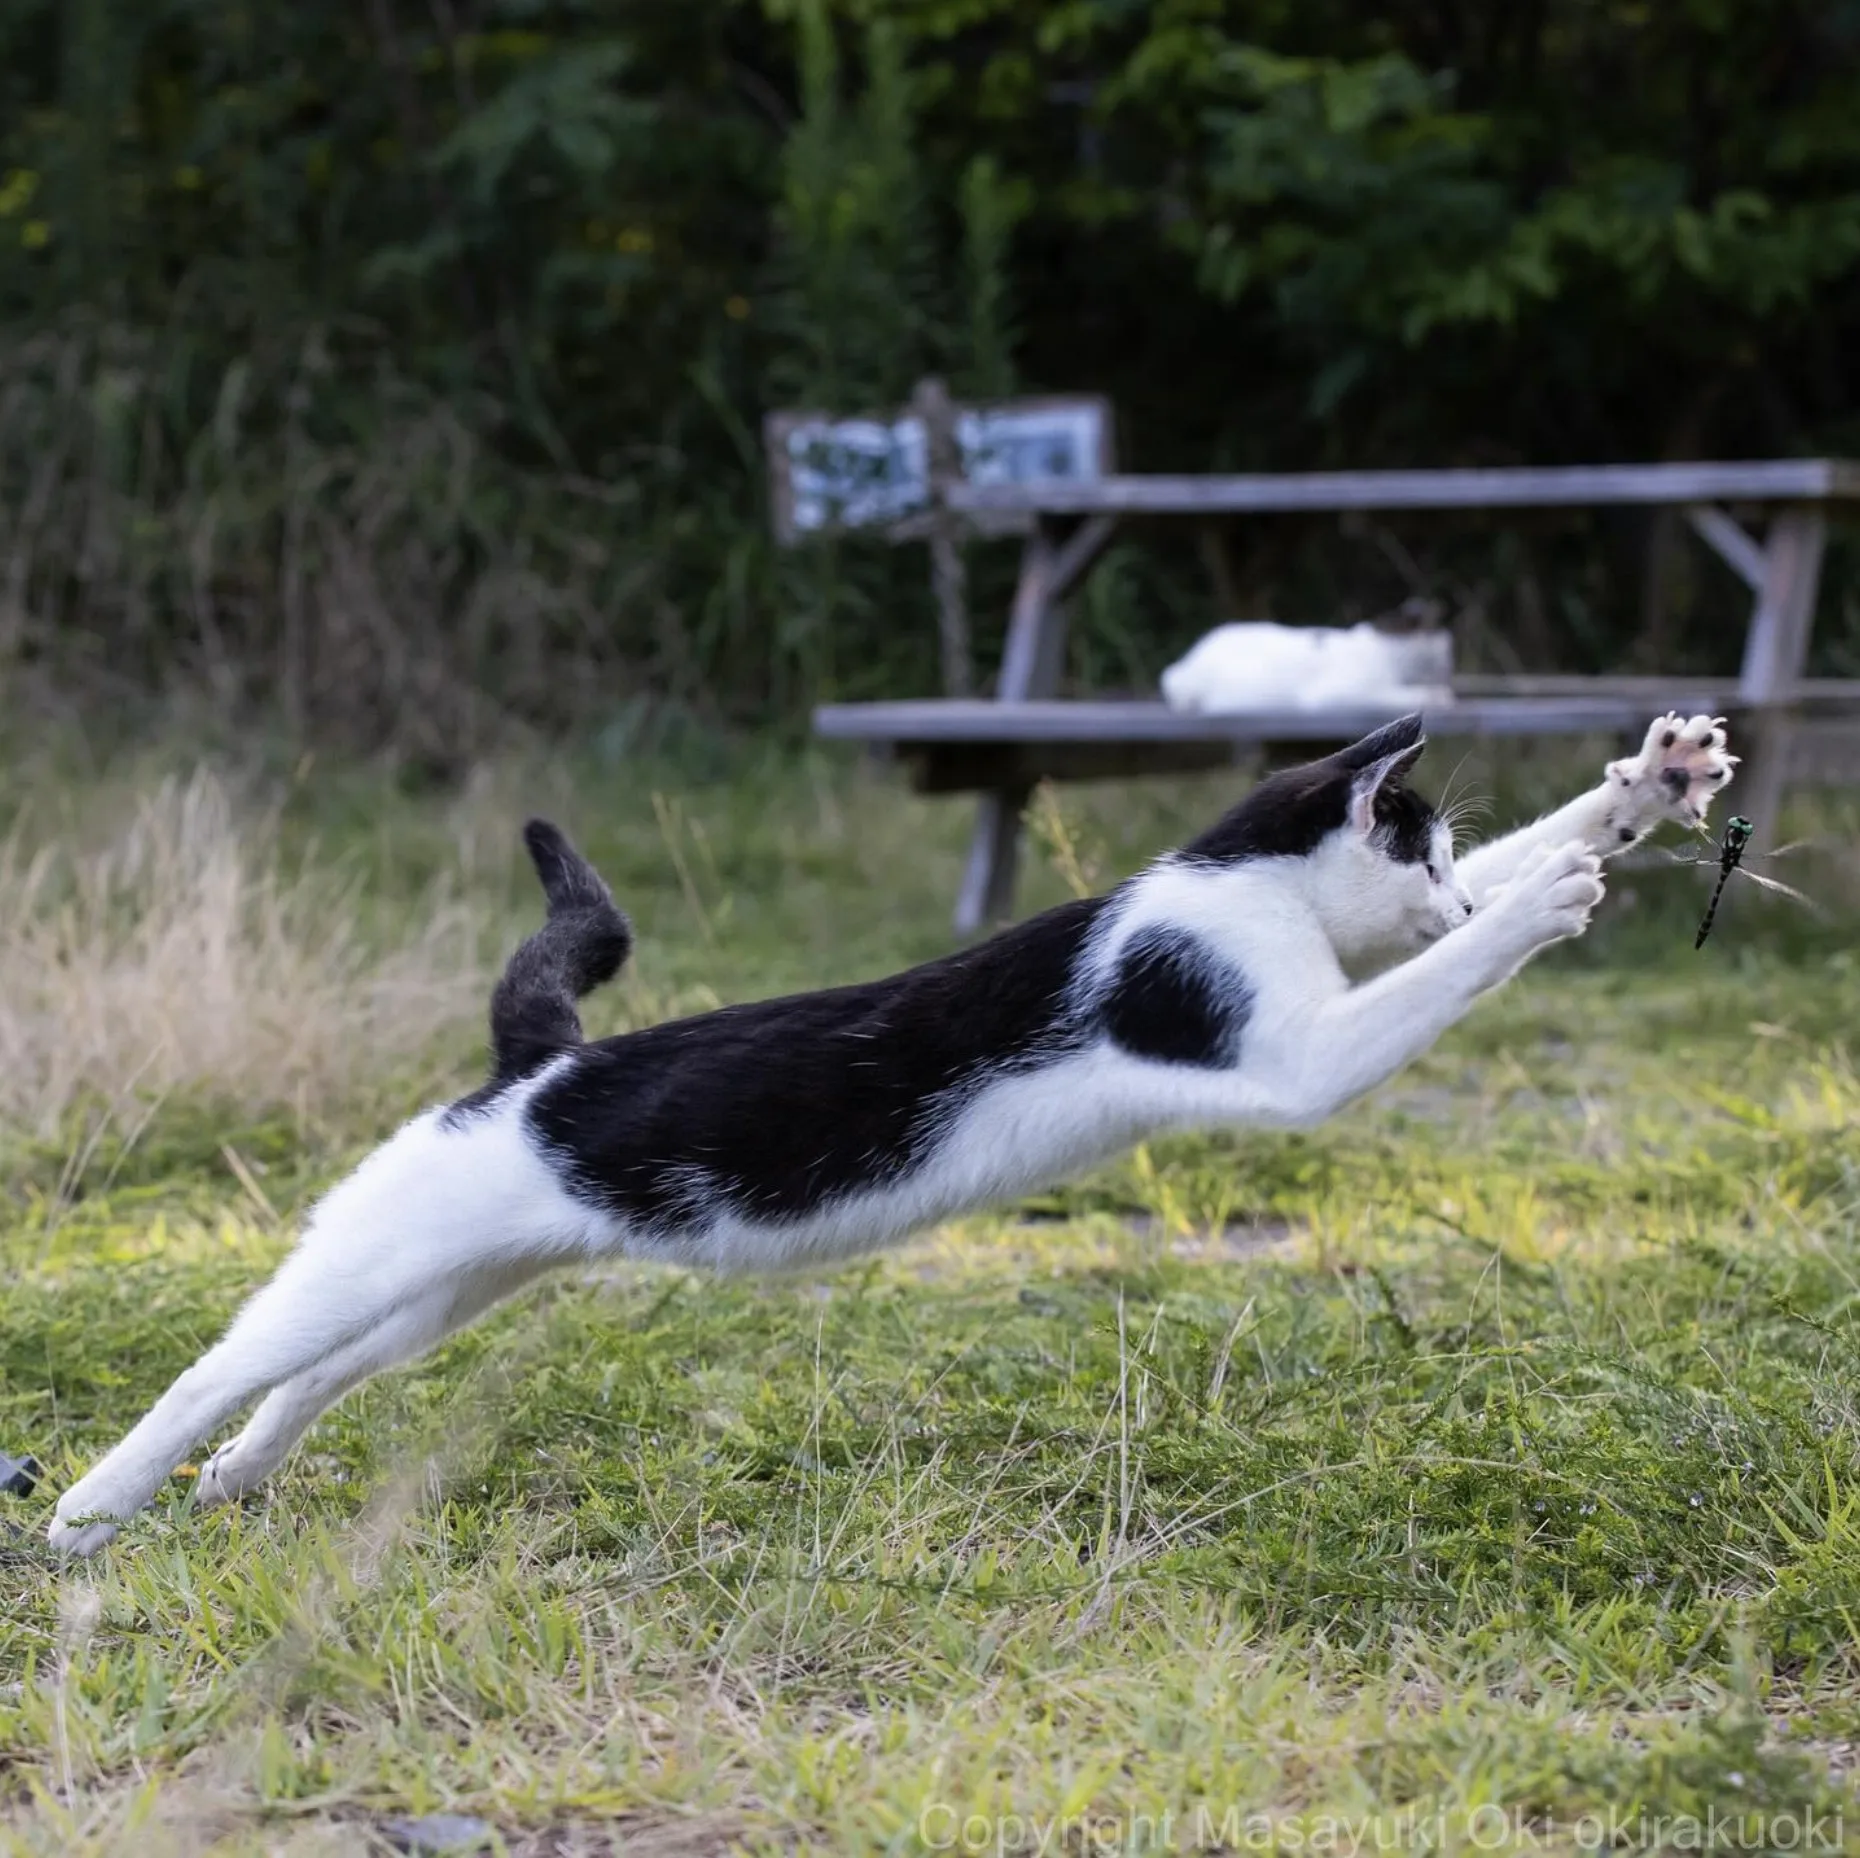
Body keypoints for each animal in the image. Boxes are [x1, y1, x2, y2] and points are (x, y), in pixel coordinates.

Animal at [50, 710, 1733, 1554]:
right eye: (1424, 849)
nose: (1446, 893)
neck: (1228, 880)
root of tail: (537, 1067)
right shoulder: (1296, 1054)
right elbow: (1442, 981)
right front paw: (1536, 900)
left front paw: (1638, 791)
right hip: (372, 1258)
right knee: (219, 1364)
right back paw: (90, 1509)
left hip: (446, 1289)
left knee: (309, 1379)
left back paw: (234, 1482)